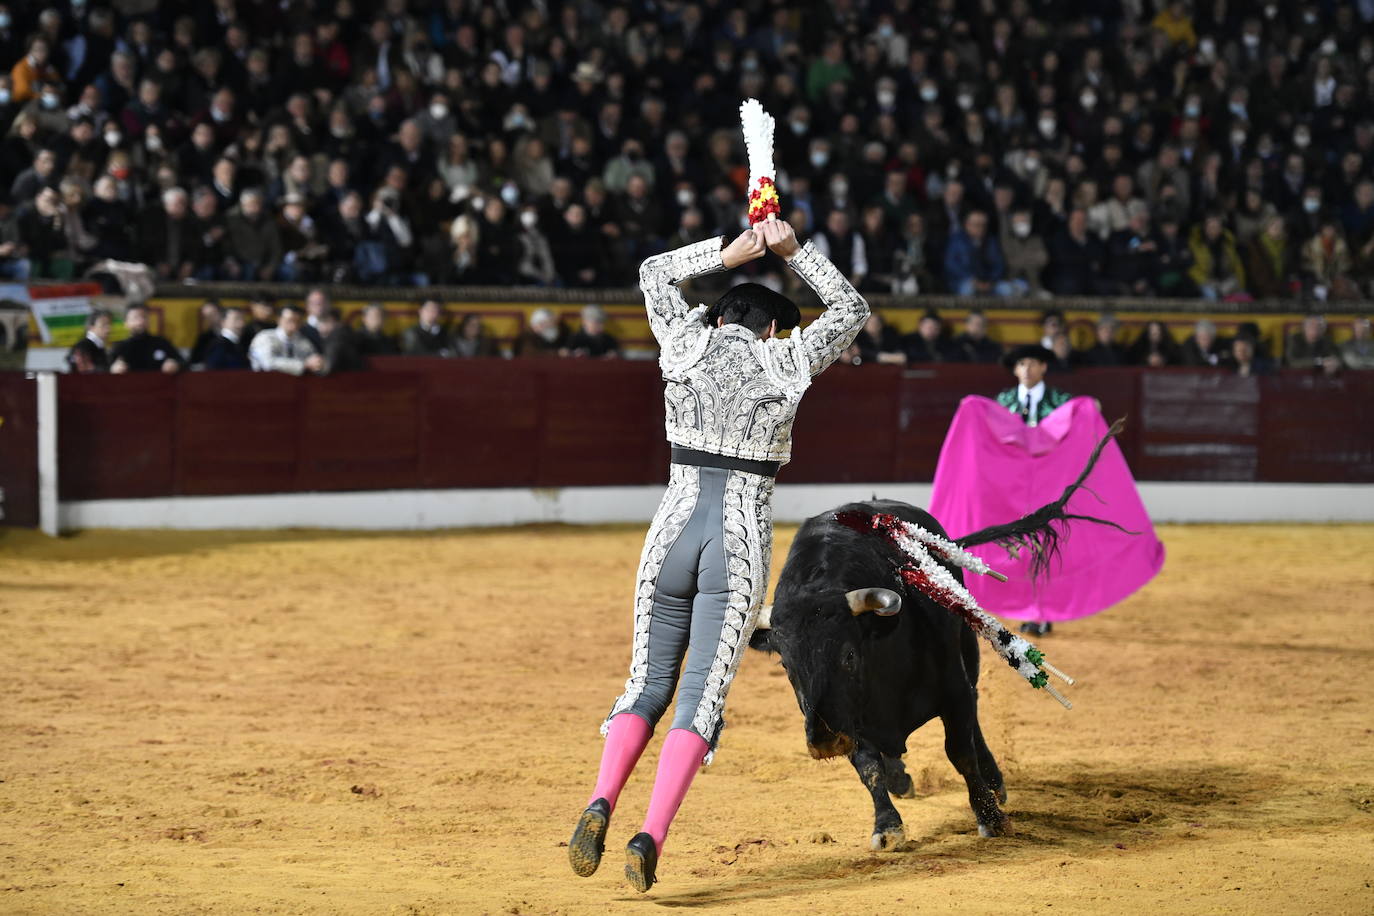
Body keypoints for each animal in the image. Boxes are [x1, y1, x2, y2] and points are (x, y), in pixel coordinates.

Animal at [747, 502, 1016, 851]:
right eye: (786, 665)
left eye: (849, 655)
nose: (825, 741)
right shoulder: (850, 720)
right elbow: (869, 767)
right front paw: (887, 826)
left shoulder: (954, 691)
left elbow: (960, 750)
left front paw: (990, 816)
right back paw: (899, 777)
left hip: (968, 655)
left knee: (975, 716)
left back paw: (994, 780)